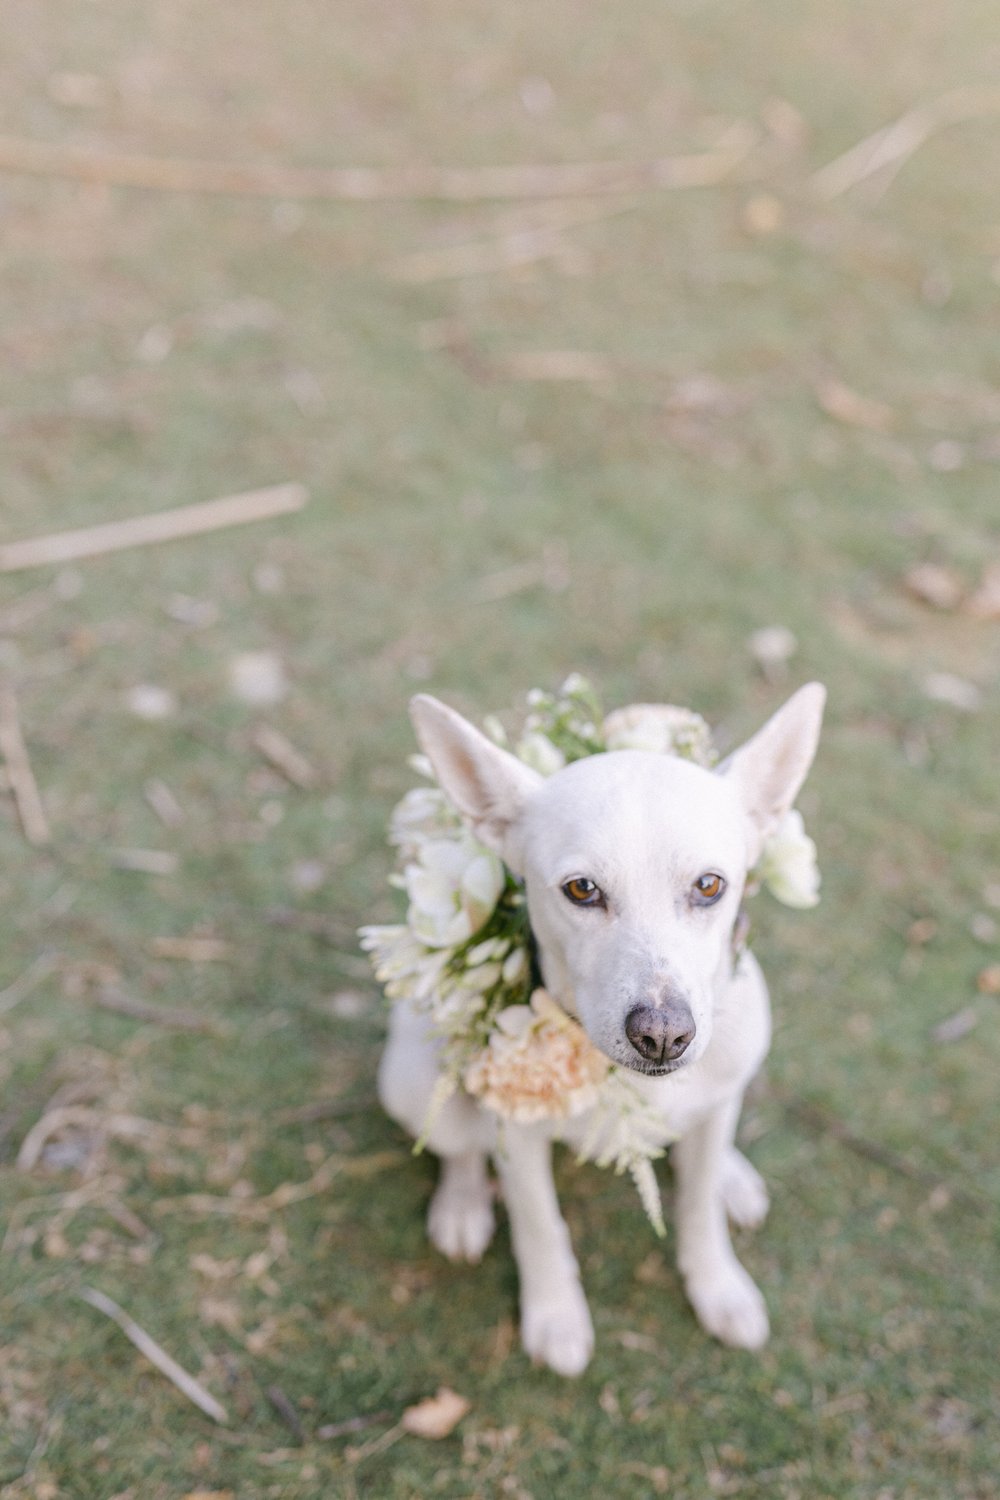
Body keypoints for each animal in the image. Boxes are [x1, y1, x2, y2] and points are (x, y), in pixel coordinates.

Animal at [379, 687, 827, 1374]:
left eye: (710, 885)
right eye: (582, 889)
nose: (663, 1035)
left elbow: (699, 1210)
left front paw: (717, 1285)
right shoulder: (519, 1138)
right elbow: (539, 1226)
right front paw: (555, 1315)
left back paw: (731, 1174)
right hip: (411, 1083)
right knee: (457, 1142)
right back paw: (461, 1204)